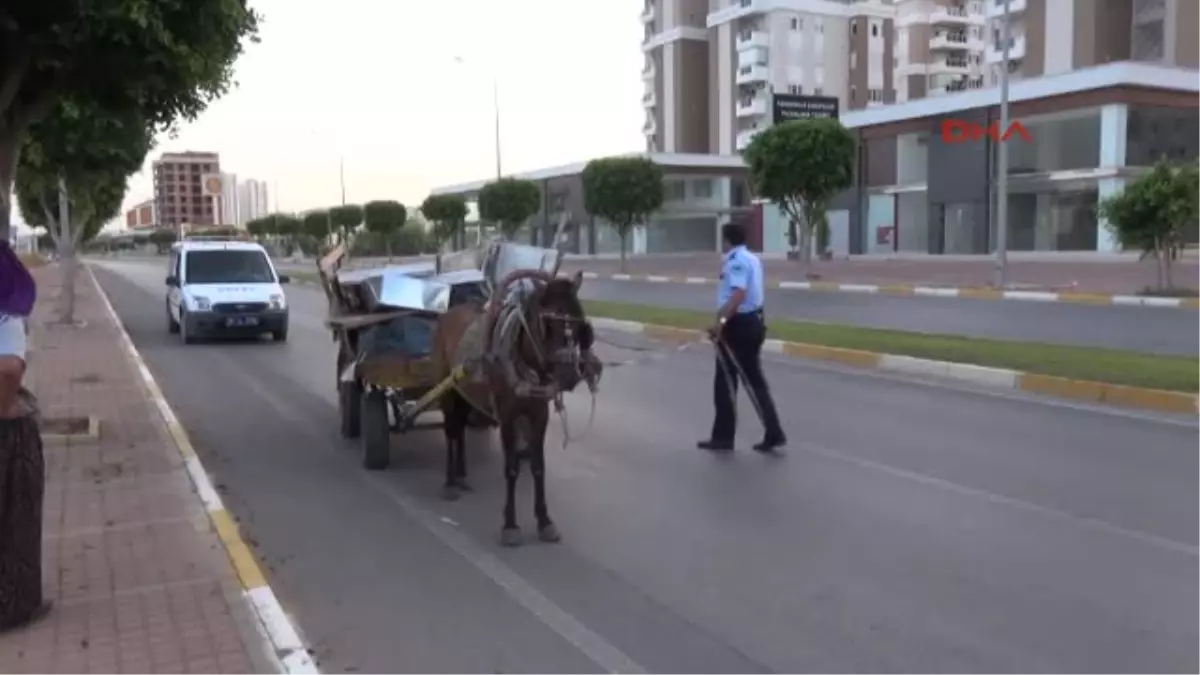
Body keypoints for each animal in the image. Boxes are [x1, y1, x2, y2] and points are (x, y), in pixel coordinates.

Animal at [434, 265, 597, 542]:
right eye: (546, 323)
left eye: (579, 324)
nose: (568, 376)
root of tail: (450, 312)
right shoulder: (508, 417)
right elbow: (511, 468)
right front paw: (510, 525)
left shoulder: (539, 414)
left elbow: (538, 466)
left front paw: (544, 520)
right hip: (448, 388)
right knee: (451, 431)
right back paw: (449, 481)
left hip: (466, 392)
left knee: (460, 428)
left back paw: (462, 475)